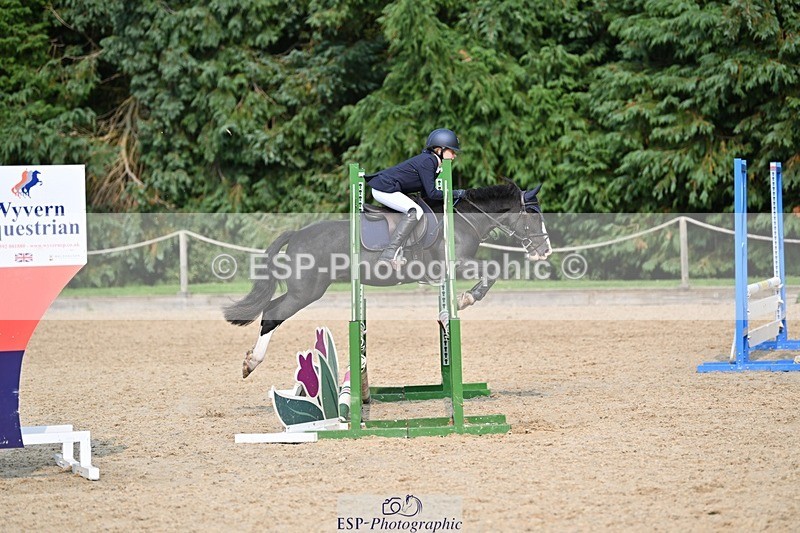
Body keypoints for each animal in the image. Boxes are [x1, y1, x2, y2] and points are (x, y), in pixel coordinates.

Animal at [224, 182, 552, 378]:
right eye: (535, 217)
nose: (545, 250)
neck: (463, 221)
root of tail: (296, 235)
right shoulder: (456, 263)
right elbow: (491, 272)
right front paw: (464, 299)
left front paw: (456, 304)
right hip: (305, 292)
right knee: (274, 314)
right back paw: (251, 363)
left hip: (305, 290)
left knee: (270, 309)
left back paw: (250, 360)